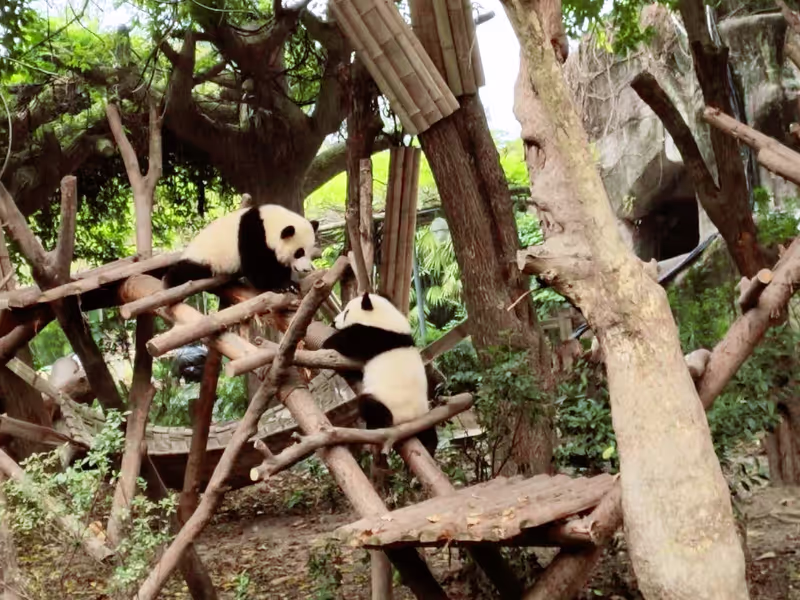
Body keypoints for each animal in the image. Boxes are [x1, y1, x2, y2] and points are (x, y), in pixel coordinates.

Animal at [164, 204, 319, 293]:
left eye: (309, 252)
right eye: (299, 253)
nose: (306, 269)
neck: (269, 223)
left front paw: (288, 282)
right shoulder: (252, 234)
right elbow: (256, 268)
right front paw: (283, 285)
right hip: (202, 258)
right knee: (185, 271)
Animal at [322, 292, 437, 456]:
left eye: (346, 312)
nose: (333, 322)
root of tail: (406, 421)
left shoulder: (375, 336)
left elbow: (350, 342)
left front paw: (327, 343)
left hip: (388, 402)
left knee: (369, 404)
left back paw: (380, 422)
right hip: (422, 416)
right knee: (429, 433)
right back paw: (430, 445)